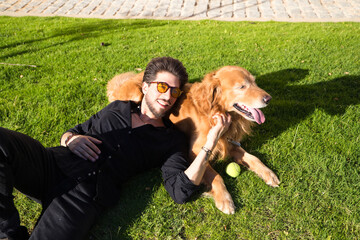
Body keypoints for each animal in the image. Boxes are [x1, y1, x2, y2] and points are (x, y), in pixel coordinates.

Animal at [105, 65, 280, 214]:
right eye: (242, 87)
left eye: (254, 82)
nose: (269, 98)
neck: (212, 112)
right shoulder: (194, 153)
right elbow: (217, 176)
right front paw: (225, 199)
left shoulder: (229, 143)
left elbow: (253, 157)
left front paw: (268, 174)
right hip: (135, 94)